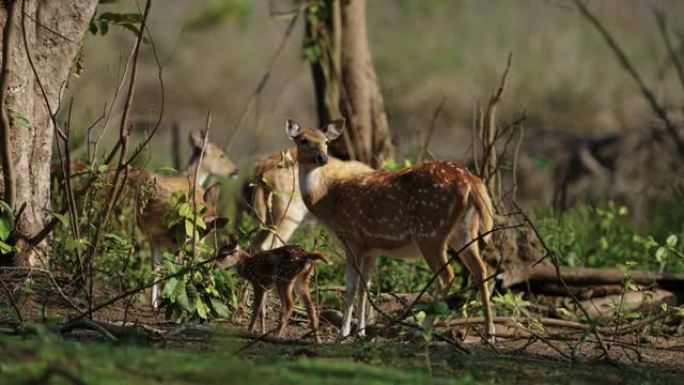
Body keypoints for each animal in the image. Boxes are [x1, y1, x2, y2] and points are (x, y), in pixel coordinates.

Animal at [284, 118, 496, 338]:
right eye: (303, 140)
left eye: (326, 142)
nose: (322, 157)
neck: (328, 202)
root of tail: (469, 180)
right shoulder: (371, 249)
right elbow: (365, 287)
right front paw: (361, 331)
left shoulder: (351, 238)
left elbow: (351, 287)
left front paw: (343, 332)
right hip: (464, 230)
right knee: (480, 269)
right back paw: (489, 331)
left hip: (430, 230)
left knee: (447, 276)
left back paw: (423, 329)